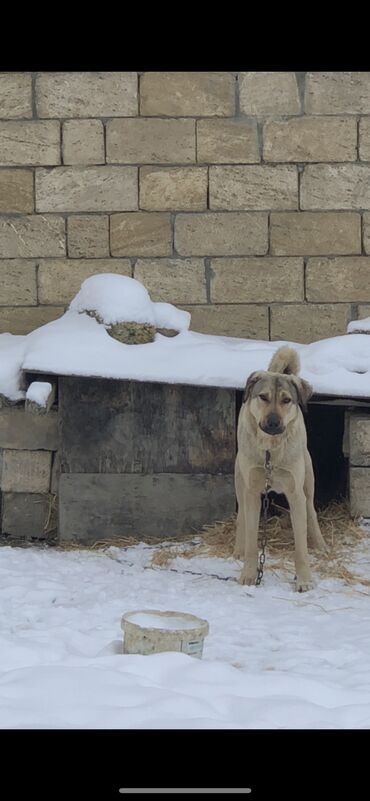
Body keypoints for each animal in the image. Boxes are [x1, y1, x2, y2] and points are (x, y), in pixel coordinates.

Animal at [234, 340, 326, 592]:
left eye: (286, 400)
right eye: (263, 397)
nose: (273, 423)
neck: (270, 451)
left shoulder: (295, 494)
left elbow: (300, 547)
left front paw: (304, 579)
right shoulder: (252, 491)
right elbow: (251, 539)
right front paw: (248, 573)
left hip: (308, 481)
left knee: (312, 511)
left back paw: (321, 545)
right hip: (239, 481)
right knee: (241, 516)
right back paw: (238, 548)